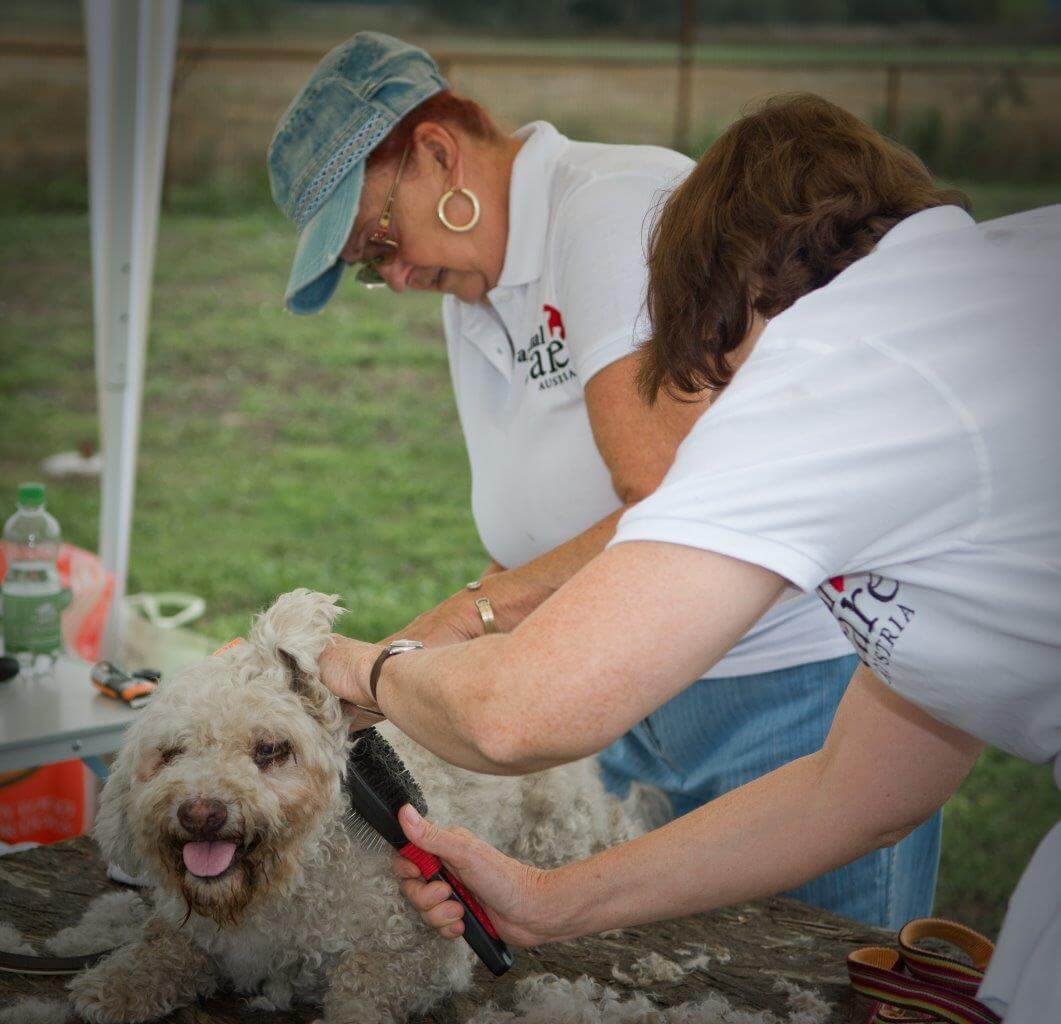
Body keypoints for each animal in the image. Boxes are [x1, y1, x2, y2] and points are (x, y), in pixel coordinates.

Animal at [69, 590, 640, 1024]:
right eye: (171, 753)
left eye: (270, 749)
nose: (201, 812)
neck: (293, 882)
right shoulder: (198, 935)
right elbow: (161, 949)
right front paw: (113, 986)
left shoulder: (421, 952)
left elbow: (362, 987)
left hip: (559, 821)